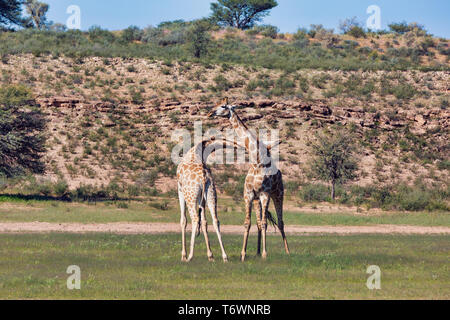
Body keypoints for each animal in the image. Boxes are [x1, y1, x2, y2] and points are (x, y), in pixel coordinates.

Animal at [209, 98, 290, 262]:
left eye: (223, 106)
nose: (210, 112)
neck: (256, 161)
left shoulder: (265, 194)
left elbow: (265, 223)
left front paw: (265, 254)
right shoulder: (249, 195)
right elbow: (248, 223)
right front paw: (243, 254)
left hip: (278, 195)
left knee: (280, 222)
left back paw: (287, 252)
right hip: (258, 200)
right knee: (259, 222)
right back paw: (258, 252)